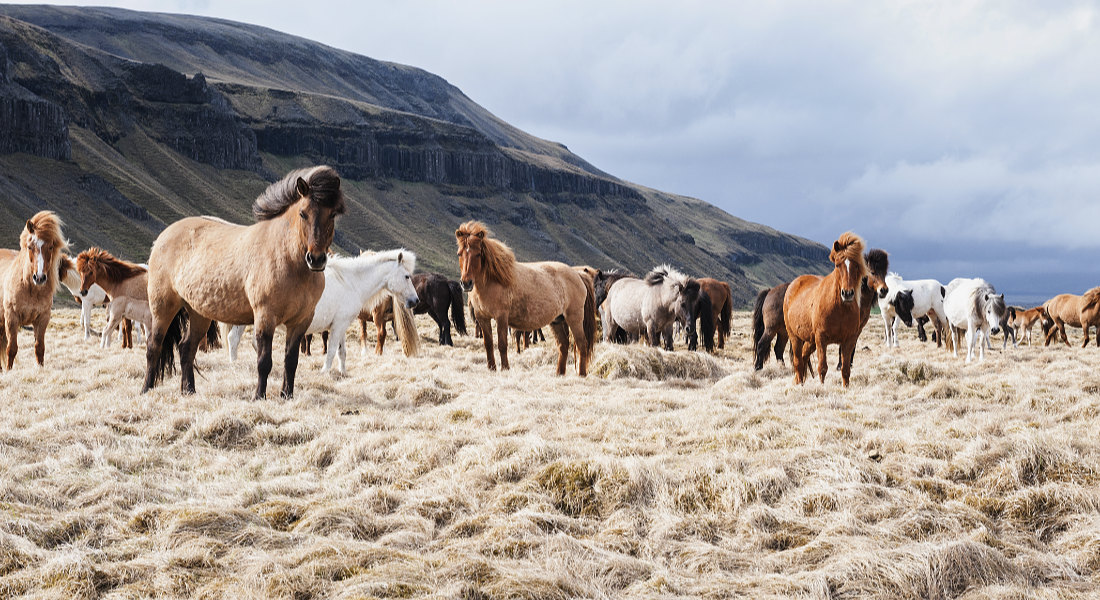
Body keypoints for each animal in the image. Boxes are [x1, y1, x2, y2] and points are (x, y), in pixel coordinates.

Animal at [0, 210, 68, 369]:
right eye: (30, 246)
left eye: (51, 247)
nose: (40, 278)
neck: (30, 288)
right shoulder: (11, 318)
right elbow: (11, 348)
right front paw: (9, 371)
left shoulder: (42, 318)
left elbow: (39, 347)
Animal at [143, 165, 343, 398]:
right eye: (303, 213)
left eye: (333, 214)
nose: (316, 259)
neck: (287, 258)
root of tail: (162, 237)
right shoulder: (265, 317)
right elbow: (264, 362)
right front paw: (259, 396)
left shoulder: (301, 321)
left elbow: (291, 361)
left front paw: (287, 396)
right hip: (163, 307)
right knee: (154, 347)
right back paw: (146, 389)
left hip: (198, 313)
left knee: (186, 349)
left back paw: (189, 390)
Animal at [227, 248, 420, 374]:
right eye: (407, 276)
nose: (415, 301)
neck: (351, 282)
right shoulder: (338, 326)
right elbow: (332, 350)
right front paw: (325, 371)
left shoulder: (341, 326)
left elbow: (342, 352)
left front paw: (343, 373)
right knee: (234, 339)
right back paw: (235, 365)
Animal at [453, 220, 598, 374]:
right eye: (459, 254)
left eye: (478, 254)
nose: (466, 283)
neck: (493, 280)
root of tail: (578, 274)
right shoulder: (483, 318)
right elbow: (489, 344)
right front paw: (491, 368)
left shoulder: (501, 317)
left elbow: (502, 344)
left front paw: (505, 369)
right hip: (557, 321)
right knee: (563, 345)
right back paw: (559, 374)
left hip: (574, 318)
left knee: (582, 344)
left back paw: (581, 375)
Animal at [787, 231, 871, 385]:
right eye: (837, 265)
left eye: (856, 266)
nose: (847, 293)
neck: (839, 309)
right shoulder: (821, 339)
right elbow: (822, 368)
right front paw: (822, 387)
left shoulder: (849, 340)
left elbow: (845, 369)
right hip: (795, 337)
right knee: (798, 362)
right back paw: (799, 383)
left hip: (810, 340)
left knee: (803, 357)